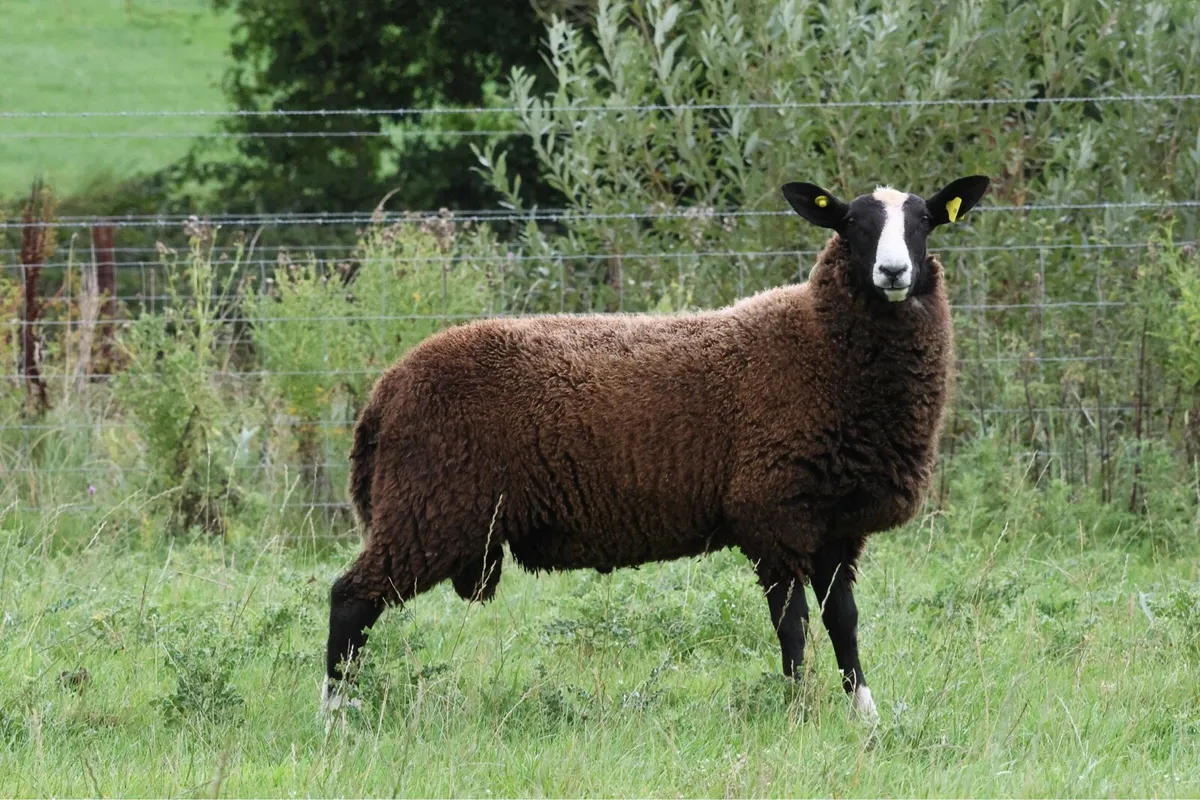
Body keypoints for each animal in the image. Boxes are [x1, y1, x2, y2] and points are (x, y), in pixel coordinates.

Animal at [323, 175, 991, 721]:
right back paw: (336, 715)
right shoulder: (772, 513)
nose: (893, 274)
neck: (819, 346)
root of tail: (386, 390)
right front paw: (800, 709)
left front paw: (865, 714)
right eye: (851, 223)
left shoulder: (834, 523)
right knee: (350, 598)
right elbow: (793, 625)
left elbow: (843, 621)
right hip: (430, 509)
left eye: (924, 221)